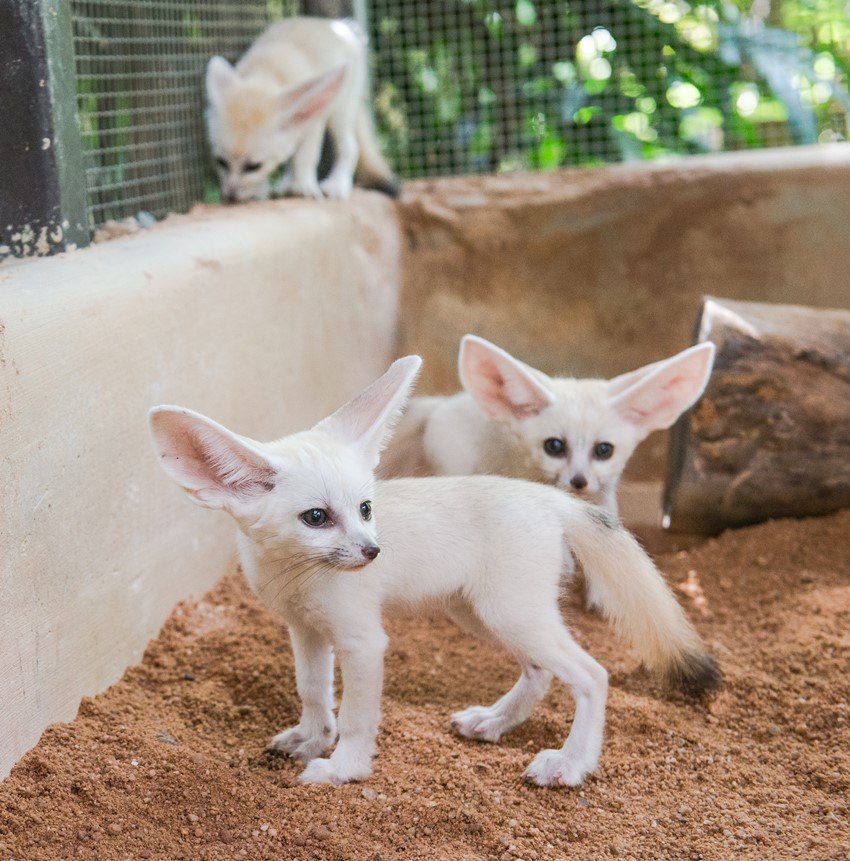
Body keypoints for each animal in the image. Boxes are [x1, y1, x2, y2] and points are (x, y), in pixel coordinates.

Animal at [149, 356, 719, 787]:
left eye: (365, 508)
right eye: (316, 517)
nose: (373, 552)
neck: (294, 574)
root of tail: (549, 497)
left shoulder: (362, 640)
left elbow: (357, 716)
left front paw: (343, 769)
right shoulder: (306, 631)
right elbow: (312, 690)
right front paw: (311, 739)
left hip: (508, 615)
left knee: (593, 675)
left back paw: (571, 764)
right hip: (483, 615)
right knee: (539, 672)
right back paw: (494, 723)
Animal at [205, 16, 398, 203]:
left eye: (253, 166)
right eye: (221, 162)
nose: (230, 197)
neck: (268, 73)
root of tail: (339, 25)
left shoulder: (313, 118)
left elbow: (305, 156)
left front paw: (303, 186)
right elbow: (291, 157)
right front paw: (263, 191)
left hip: (341, 109)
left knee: (350, 146)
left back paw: (337, 185)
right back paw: (286, 185)